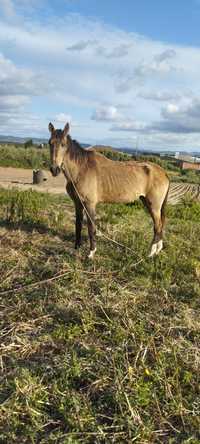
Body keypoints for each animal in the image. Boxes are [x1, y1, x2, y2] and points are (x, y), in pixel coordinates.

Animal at [48, 123, 169, 258]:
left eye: (63, 144)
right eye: (50, 143)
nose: (54, 169)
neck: (81, 169)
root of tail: (163, 172)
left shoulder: (90, 204)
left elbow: (91, 227)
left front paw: (91, 253)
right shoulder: (77, 203)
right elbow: (78, 224)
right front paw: (76, 248)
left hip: (154, 206)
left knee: (157, 226)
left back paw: (151, 253)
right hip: (147, 202)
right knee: (160, 226)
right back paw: (158, 250)